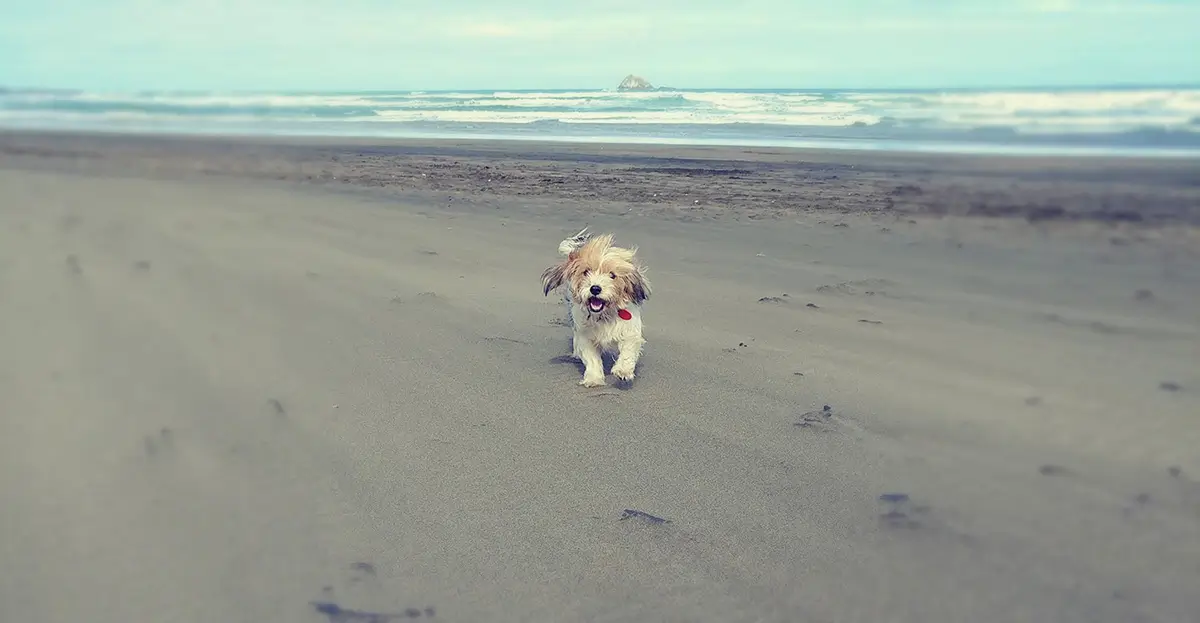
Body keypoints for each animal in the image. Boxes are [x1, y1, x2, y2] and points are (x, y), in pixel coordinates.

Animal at [542, 226, 652, 386]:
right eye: (586, 272)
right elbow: (592, 358)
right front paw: (593, 378)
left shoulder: (630, 331)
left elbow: (628, 350)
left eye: (612, 275)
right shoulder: (585, 336)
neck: (604, 315)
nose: (595, 288)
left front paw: (623, 371)